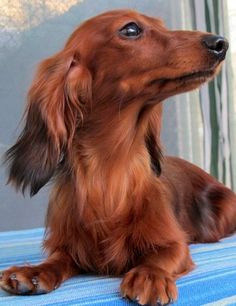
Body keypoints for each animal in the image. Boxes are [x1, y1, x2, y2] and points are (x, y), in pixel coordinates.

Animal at [0, 10, 235, 306]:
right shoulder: (68, 245)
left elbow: (160, 256)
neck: (110, 169)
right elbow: (57, 259)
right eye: (131, 29)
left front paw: (150, 275)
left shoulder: (175, 243)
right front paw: (33, 271)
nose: (221, 43)